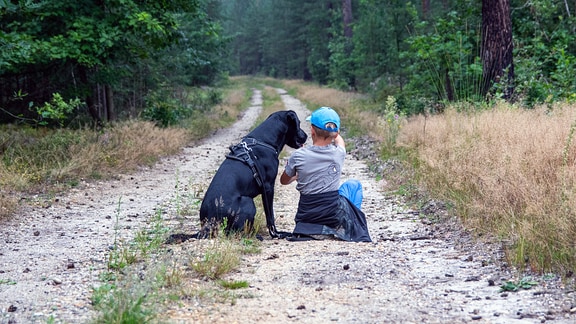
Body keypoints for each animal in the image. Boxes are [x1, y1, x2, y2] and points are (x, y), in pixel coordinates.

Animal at [197, 110, 306, 239]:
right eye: (299, 123)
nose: (306, 136)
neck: (264, 141)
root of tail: (209, 222)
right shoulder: (268, 188)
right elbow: (270, 216)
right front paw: (275, 233)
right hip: (247, 201)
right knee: (234, 232)